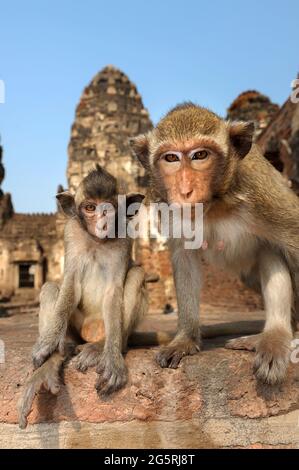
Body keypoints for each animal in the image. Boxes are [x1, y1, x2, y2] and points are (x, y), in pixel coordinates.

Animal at [17, 165, 148, 430]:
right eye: (90, 208)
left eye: (108, 208)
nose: (102, 223)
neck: (96, 241)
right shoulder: (71, 233)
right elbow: (71, 284)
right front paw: (48, 346)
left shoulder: (125, 237)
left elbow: (114, 290)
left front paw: (112, 357)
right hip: (76, 326)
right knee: (50, 287)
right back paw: (56, 357)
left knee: (137, 274)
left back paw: (99, 347)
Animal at [131, 103, 299, 386]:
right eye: (171, 158)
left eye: (200, 155)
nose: (185, 191)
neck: (215, 203)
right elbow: (184, 258)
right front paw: (185, 339)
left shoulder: (262, 194)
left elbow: (295, 238)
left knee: (271, 251)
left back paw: (277, 335)